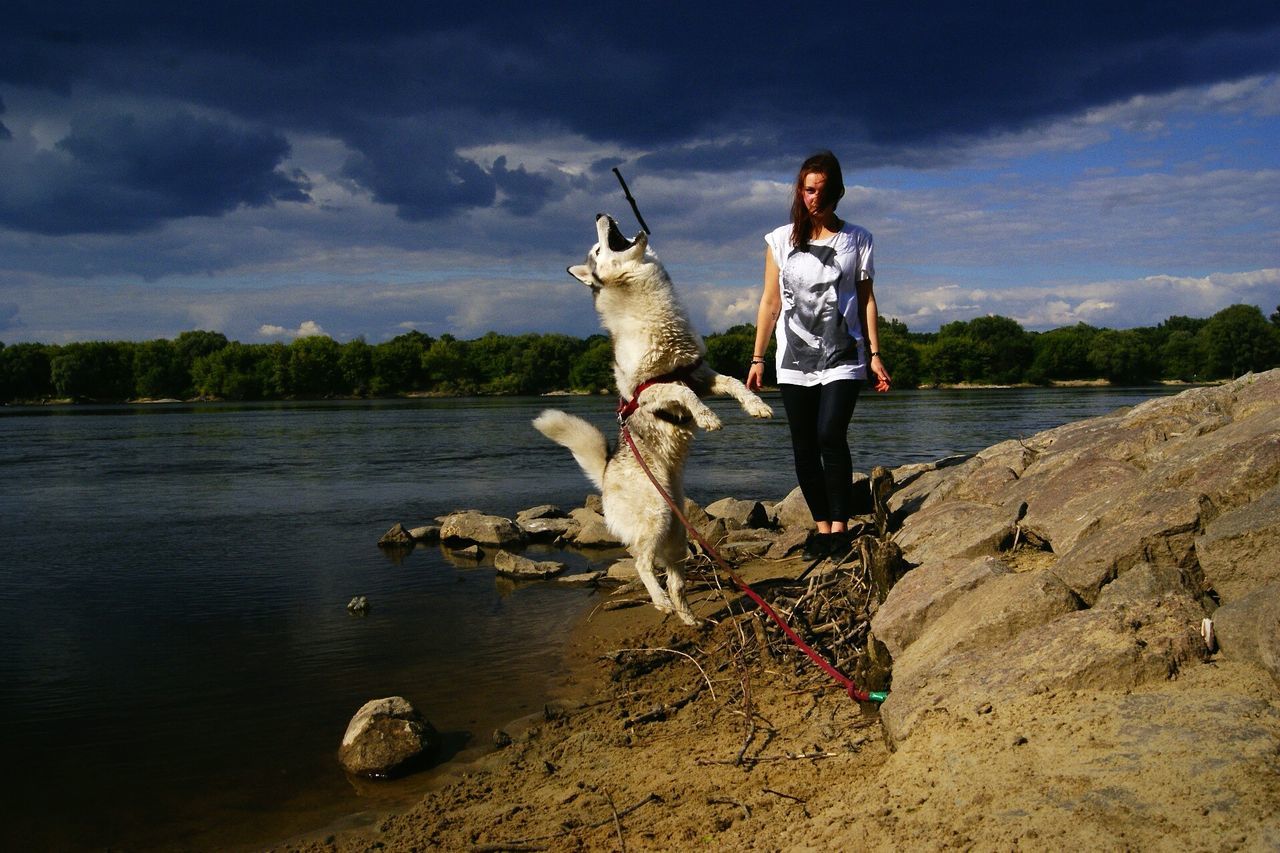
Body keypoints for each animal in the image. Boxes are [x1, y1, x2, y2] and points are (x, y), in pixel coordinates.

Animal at [532, 212, 768, 625]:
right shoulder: (653, 390)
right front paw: (707, 418)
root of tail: (605, 472)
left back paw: (688, 617)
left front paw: (755, 406)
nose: (600, 214)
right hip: (655, 518)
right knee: (641, 563)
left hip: (677, 536)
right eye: (597, 251)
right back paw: (659, 601)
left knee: (675, 579)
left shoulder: (699, 373)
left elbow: (734, 383)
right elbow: (686, 396)